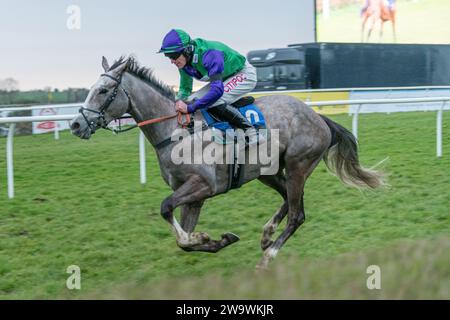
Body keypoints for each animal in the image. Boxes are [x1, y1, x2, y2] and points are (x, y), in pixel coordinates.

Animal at [70, 57, 384, 268]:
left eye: (102, 91)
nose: (75, 124)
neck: (176, 131)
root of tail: (318, 117)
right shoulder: (194, 197)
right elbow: (183, 240)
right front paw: (215, 239)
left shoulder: (204, 185)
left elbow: (166, 209)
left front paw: (204, 237)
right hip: (269, 171)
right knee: (290, 200)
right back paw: (267, 235)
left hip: (298, 165)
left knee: (298, 214)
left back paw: (268, 256)